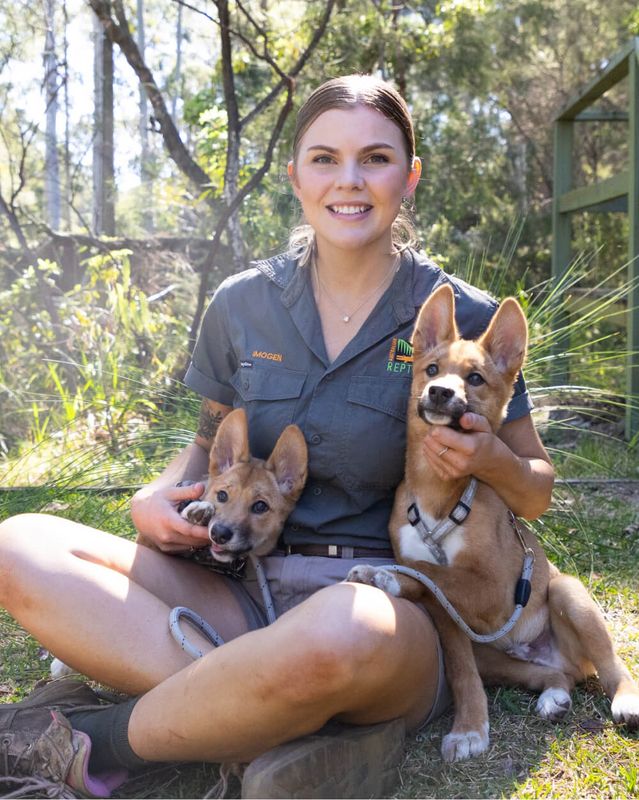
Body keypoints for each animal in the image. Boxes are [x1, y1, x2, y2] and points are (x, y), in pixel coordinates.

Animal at [350, 282, 639, 764]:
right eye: (431, 369)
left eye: (475, 379)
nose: (439, 393)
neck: (440, 492)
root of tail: (551, 656)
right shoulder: (449, 617)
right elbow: (455, 652)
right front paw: (470, 727)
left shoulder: (493, 591)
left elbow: (429, 569)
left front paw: (380, 572)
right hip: (499, 656)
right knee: (555, 677)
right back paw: (553, 696)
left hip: (569, 593)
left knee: (611, 664)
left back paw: (626, 698)